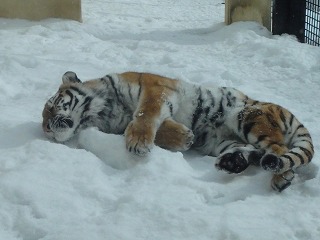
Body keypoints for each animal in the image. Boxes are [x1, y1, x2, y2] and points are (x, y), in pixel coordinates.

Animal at [41, 71, 314, 191]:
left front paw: (138, 144)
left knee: (279, 150)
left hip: (248, 118)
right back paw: (231, 163)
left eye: (52, 106)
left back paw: (281, 178)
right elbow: (157, 126)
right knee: (253, 153)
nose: (46, 130)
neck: (101, 111)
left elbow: (144, 115)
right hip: (224, 142)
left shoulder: (153, 89)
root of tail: (276, 107)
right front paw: (185, 137)